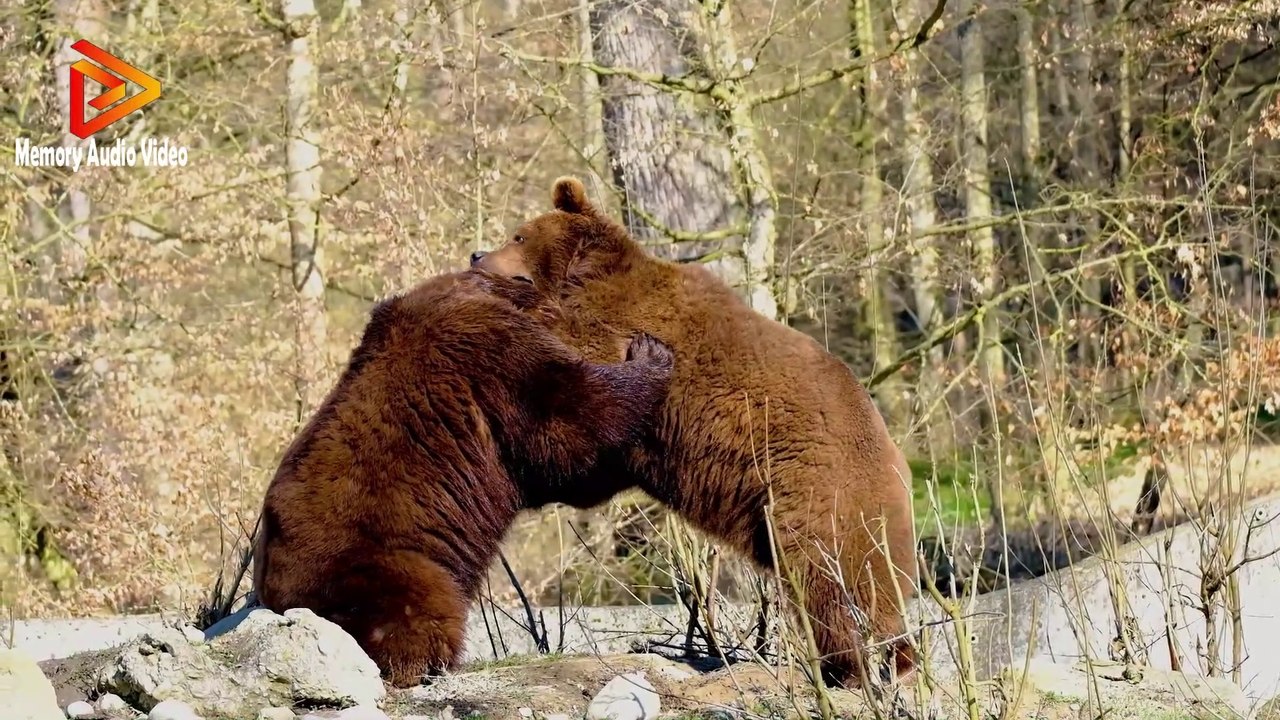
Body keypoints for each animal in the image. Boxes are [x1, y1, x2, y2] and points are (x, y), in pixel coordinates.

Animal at [251, 270, 674, 688]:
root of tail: (277, 600)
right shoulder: (488, 352)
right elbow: (569, 419)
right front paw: (651, 355)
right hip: (381, 563)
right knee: (423, 602)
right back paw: (426, 661)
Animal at [470, 178, 919, 688]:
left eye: (519, 235)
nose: (477, 254)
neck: (583, 278)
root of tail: (899, 465)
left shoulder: (629, 327)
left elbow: (581, 356)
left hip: (819, 493)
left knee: (828, 579)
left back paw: (846, 667)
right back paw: (885, 660)